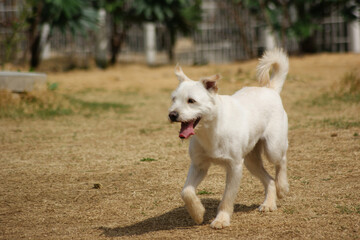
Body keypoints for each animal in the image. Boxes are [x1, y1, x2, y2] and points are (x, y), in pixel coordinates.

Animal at [169, 48, 290, 229]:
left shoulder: (234, 167)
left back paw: (282, 188)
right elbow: (186, 192)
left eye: (191, 101)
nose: (172, 115)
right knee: (269, 180)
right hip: (251, 161)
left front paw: (221, 220)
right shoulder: (199, 165)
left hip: (272, 148)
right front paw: (198, 213)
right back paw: (269, 204)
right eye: (173, 99)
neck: (211, 131)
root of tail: (270, 89)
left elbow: (227, 198)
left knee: (281, 160)